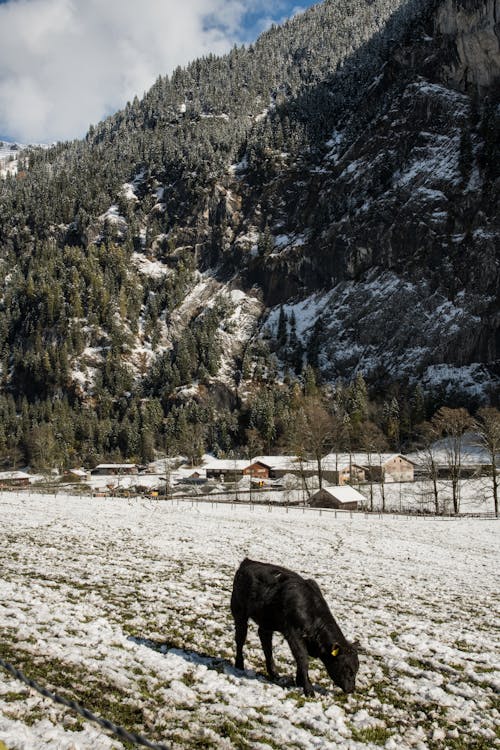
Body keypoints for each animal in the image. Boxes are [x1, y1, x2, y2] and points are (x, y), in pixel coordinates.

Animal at [230, 560, 360, 700]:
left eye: (356, 669)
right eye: (348, 669)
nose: (351, 689)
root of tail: (247, 562)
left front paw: (299, 681)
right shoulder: (293, 633)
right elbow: (302, 658)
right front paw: (308, 689)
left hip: (267, 621)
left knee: (266, 642)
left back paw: (274, 673)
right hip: (239, 612)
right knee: (240, 638)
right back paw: (239, 665)